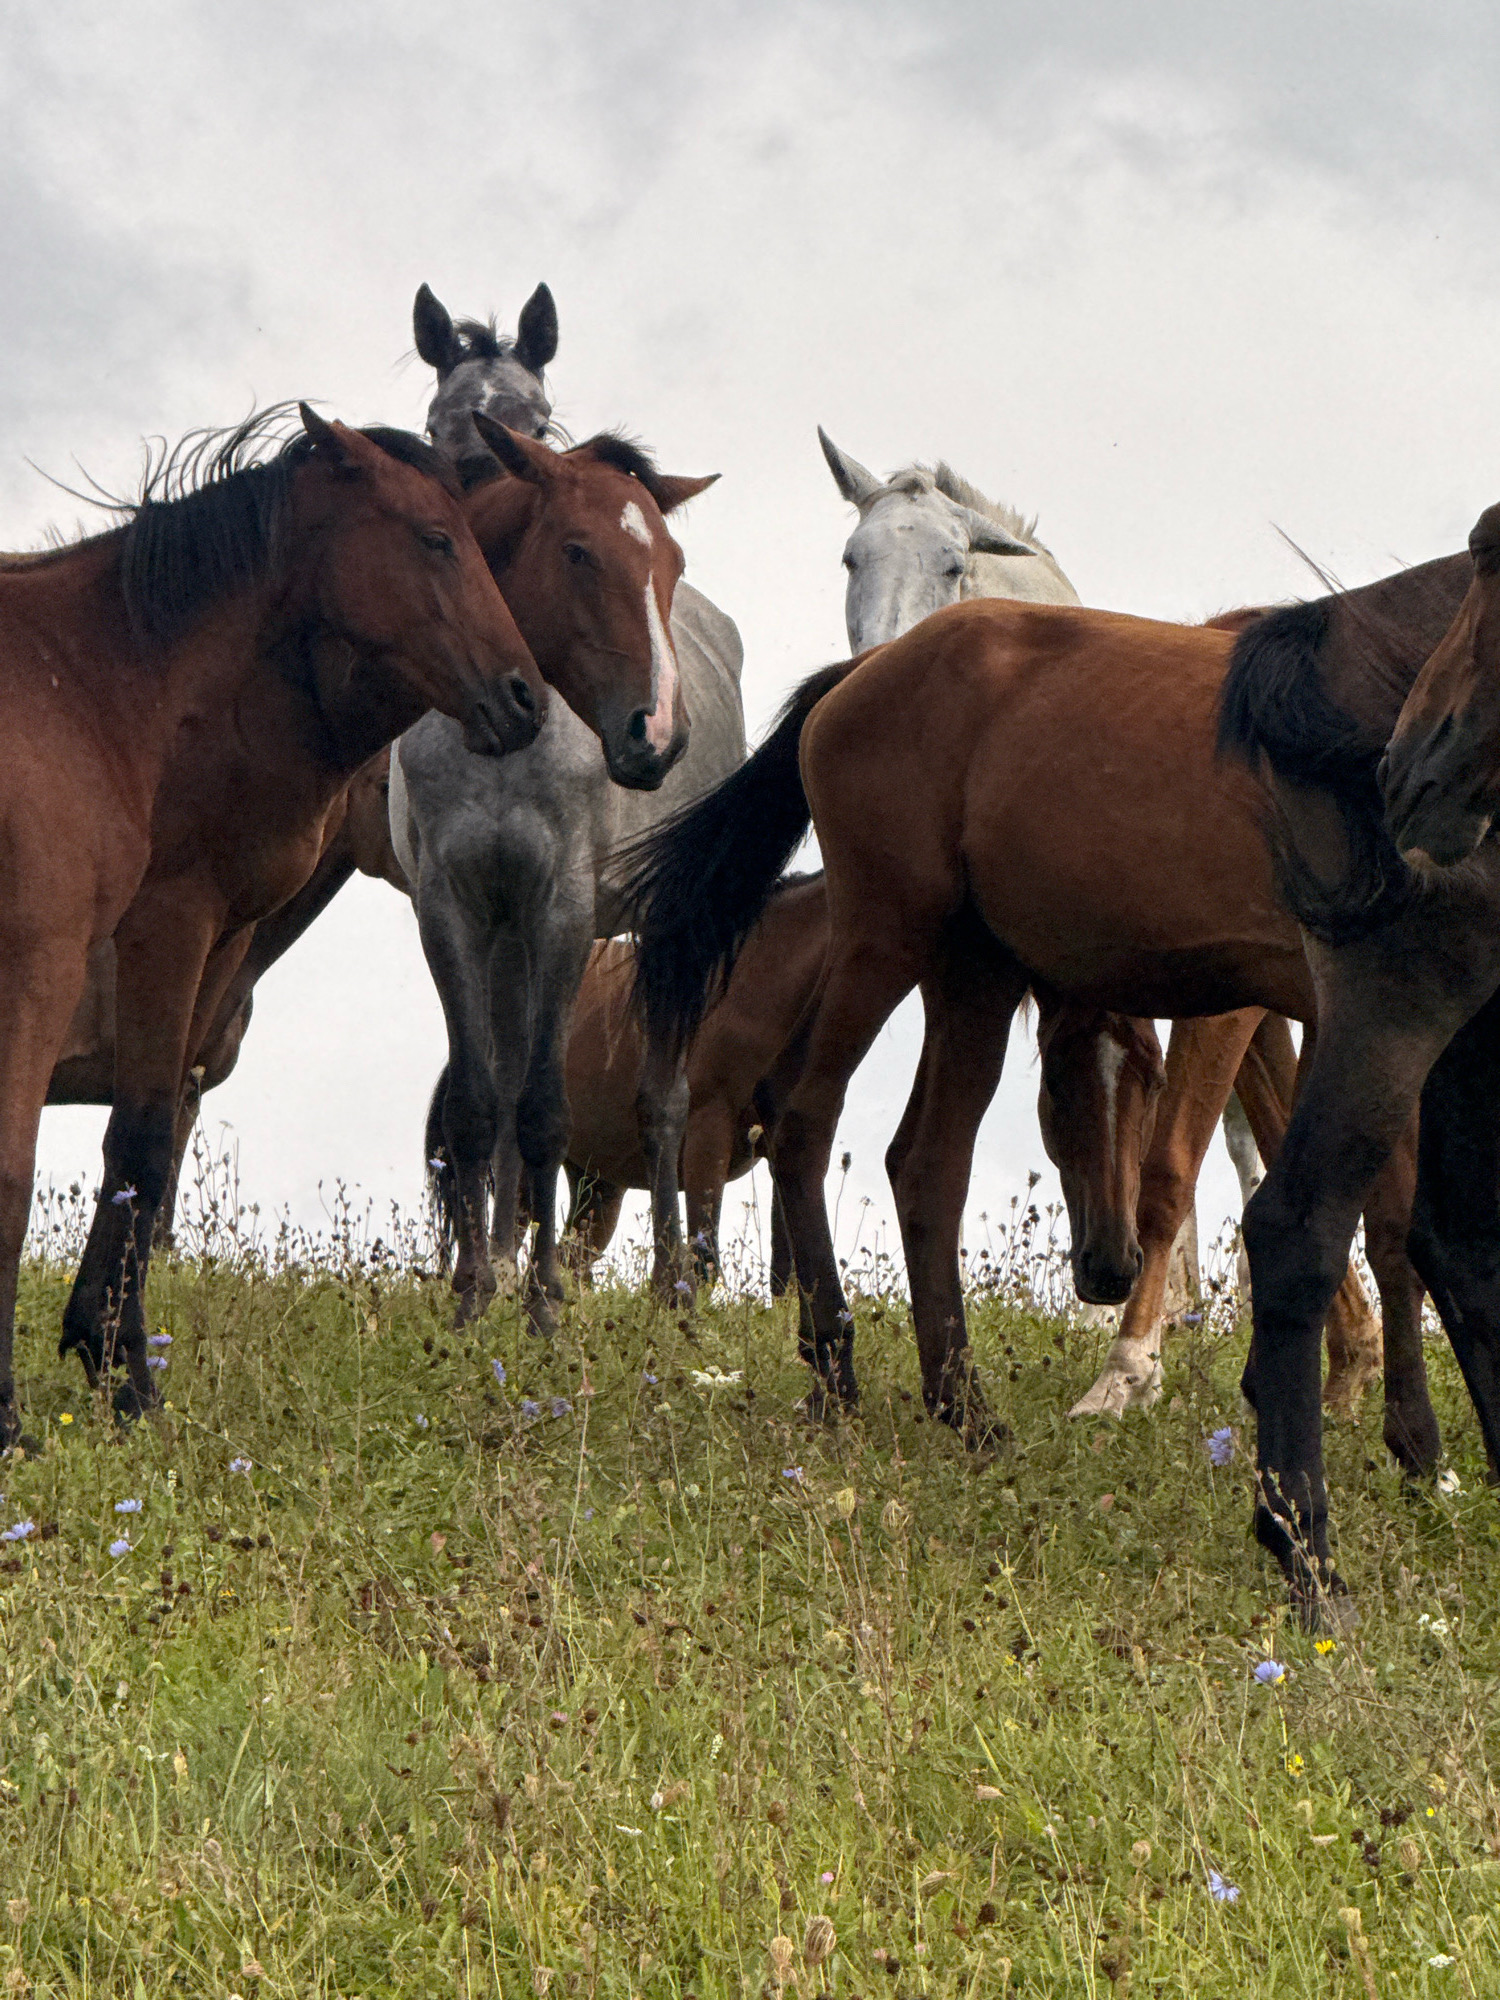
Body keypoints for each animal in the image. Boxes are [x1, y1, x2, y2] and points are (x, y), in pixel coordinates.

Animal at [0, 404, 548, 1447]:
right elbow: (79, 1165)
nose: (526, 699)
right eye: (436, 538)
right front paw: (96, 1385)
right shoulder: (82, 959)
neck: (76, 686)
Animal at [625, 570, 1464, 1527]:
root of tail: (864, 673)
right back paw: (837, 1368)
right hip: (885, 939)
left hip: (974, 974)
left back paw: (963, 1406)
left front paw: (1413, 1442)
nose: (1103, 1270)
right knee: (806, 1124)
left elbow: (1390, 1220)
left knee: (926, 1164)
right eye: (1058, 1093)